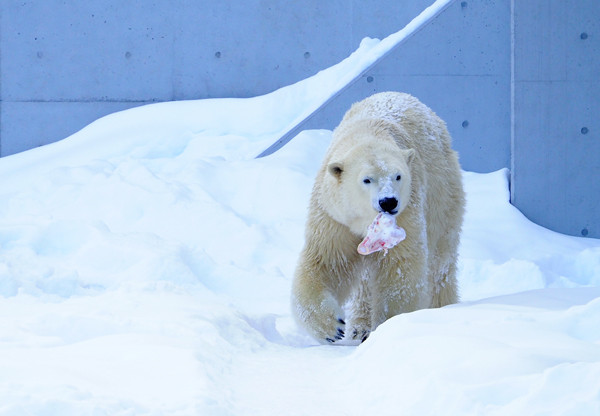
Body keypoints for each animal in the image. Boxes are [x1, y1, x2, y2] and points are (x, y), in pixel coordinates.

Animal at [290, 92, 464, 344]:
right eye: (367, 179)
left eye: (398, 176)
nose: (388, 202)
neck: (369, 131)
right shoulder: (334, 215)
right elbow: (327, 262)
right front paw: (333, 327)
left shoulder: (407, 211)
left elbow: (400, 269)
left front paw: (388, 327)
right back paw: (359, 327)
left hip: (443, 195)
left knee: (440, 264)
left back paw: (441, 310)